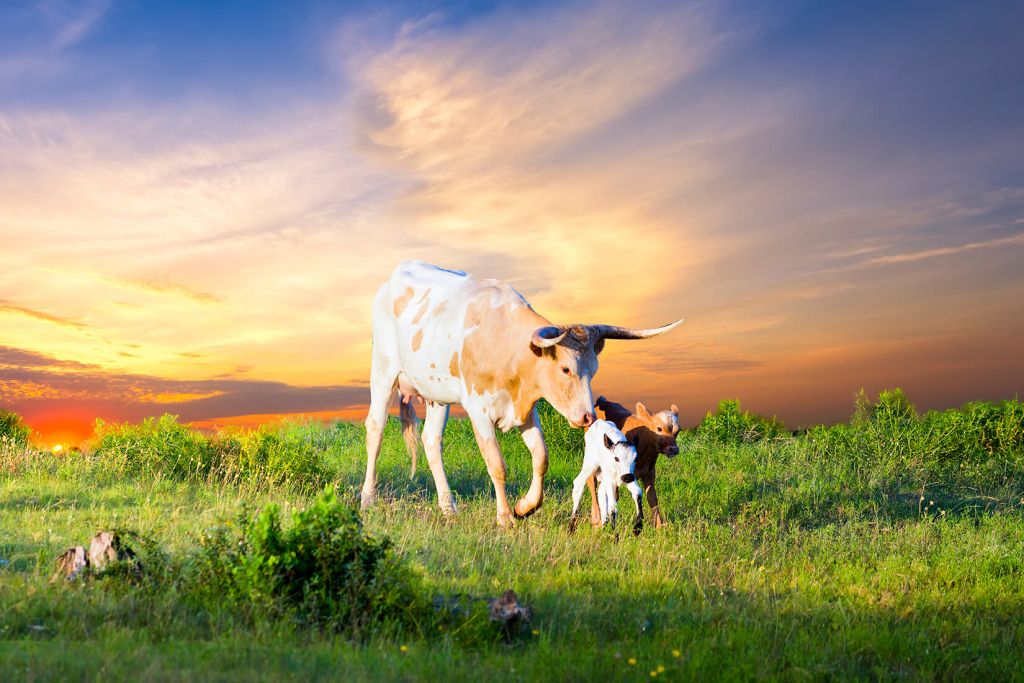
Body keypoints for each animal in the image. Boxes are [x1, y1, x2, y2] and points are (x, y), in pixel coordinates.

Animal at [589, 397, 681, 529]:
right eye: (659, 429)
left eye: (678, 431)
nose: (674, 449)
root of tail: (602, 401)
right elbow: (614, 498)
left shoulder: (649, 472)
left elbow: (652, 498)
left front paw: (659, 527)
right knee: (591, 485)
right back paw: (596, 518)